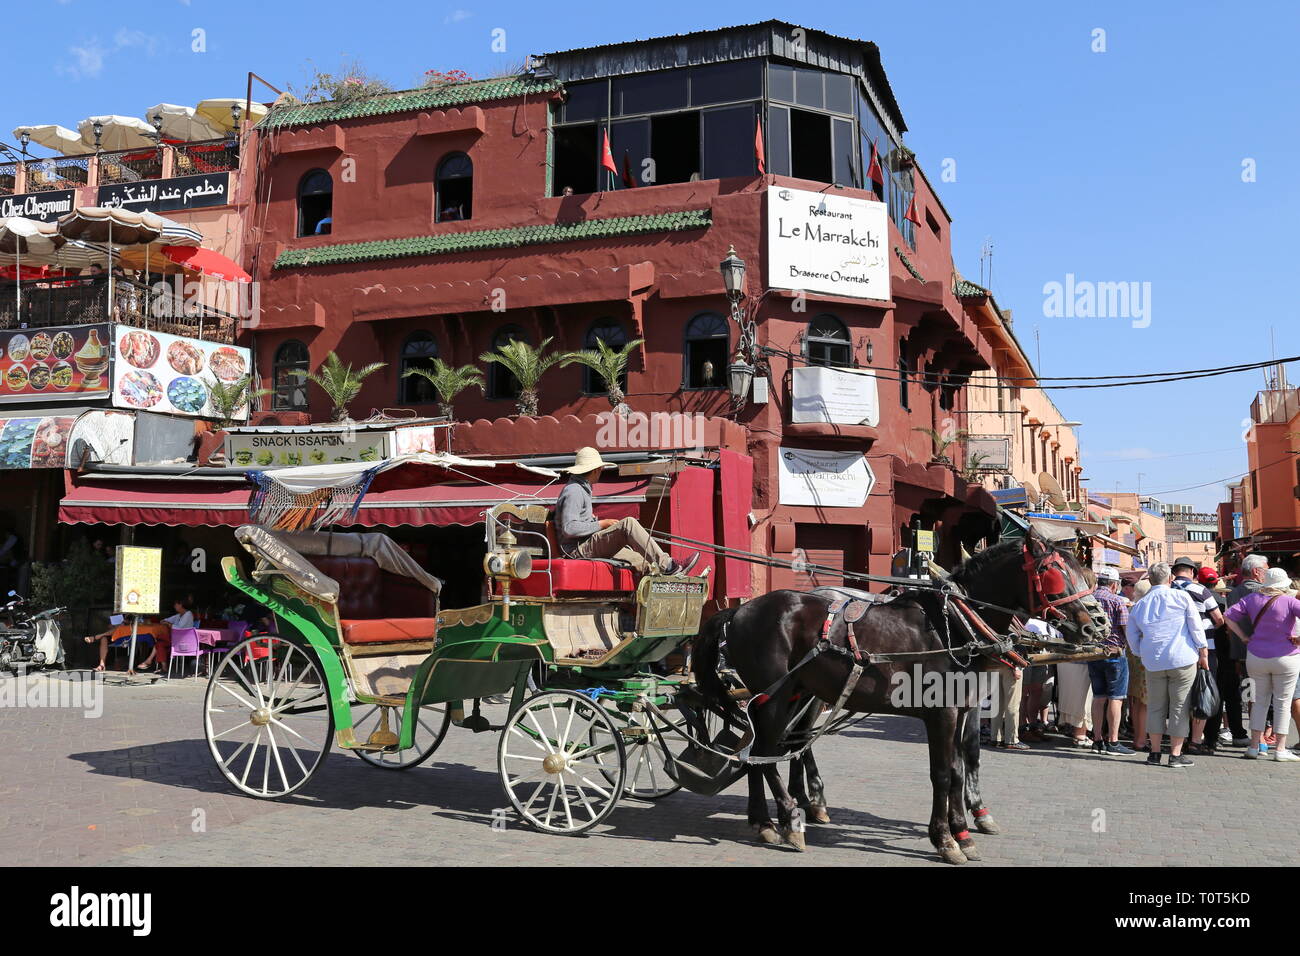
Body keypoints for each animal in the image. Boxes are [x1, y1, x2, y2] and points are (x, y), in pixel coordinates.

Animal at [691, 530, 1107, 868]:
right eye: (1053, 571)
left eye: (1081, 573)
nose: (1093, 626)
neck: (955, 626)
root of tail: (739, 611)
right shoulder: (942, 713)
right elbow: (942, 774)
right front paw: (945, 840)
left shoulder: (962, 708)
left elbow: (960, 769)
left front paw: (964, 832)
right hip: (776, 697)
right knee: (766, 753)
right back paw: (791, 817)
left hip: (794, 694)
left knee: (762, 753)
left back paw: (765, 821)